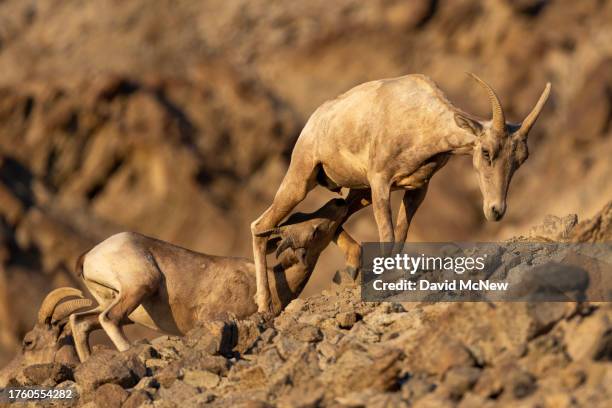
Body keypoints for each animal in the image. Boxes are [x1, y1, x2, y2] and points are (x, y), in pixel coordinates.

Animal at [68, 198, 356, 360]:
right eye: (315, 230)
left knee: (81, 322)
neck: (274, 283)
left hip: (117, 302)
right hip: (139, 287)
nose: (339, 203)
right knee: (108, 319)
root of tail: (90, 255)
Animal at [251, 72, 552, 312]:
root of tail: (314, 120)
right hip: (301, 180)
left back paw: (350, 266)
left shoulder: (416, 189)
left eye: (521, 159)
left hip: (359, 193)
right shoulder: (381, 184)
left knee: (334, 211)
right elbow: (388, 236)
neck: (418, 116)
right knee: (260, 225)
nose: (495, 210)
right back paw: (265, 308)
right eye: (487, 152)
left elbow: (401, 234)